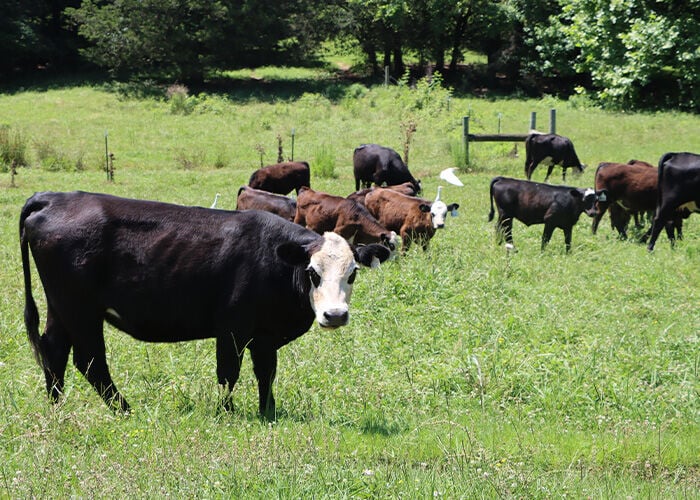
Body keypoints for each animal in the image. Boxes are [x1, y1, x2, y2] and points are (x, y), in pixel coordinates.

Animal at [20, 191, 389, 419]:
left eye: (353, 273)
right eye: (313, 272)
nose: (335, 315)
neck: (274, 260)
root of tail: (53, 198)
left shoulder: (264, 335)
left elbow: (266, 374)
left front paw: (267, 412)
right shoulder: (232, 330)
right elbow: (228, 373)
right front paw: (226, 412)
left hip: (61, 307)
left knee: (54, 351)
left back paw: (56, 408)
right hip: (80, 310)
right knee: (90, 361)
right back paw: (124, 410)